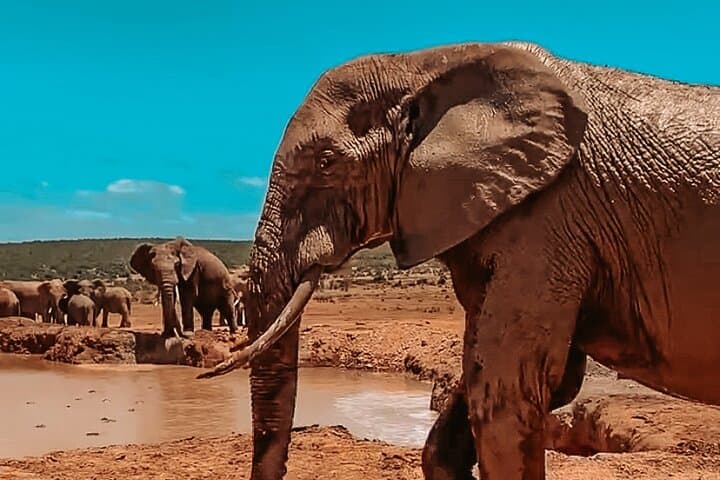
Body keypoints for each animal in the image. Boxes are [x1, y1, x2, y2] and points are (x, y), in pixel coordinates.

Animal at [196, 41, 720, 480]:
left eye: (326, 163)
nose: (205, 371)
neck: (422, 64)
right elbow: (491, 386)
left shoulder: (549, 220)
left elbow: (508, 393)